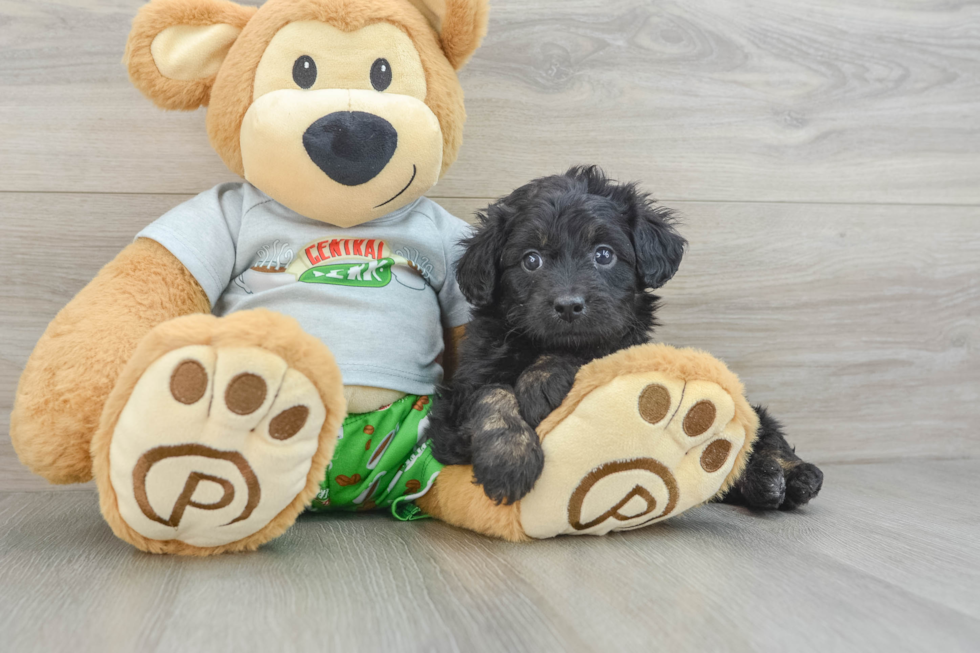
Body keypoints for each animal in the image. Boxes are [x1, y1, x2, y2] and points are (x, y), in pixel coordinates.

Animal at [428, 164, 820, 510]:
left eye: (604, 254)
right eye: (531, 260)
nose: (568, 306)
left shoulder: (623, 347)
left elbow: (593, 349)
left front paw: (541, 381)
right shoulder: (455, 402)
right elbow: (492, 395)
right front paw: (509, 461)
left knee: (763, 432)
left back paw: (789, 476)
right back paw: (764, 481)